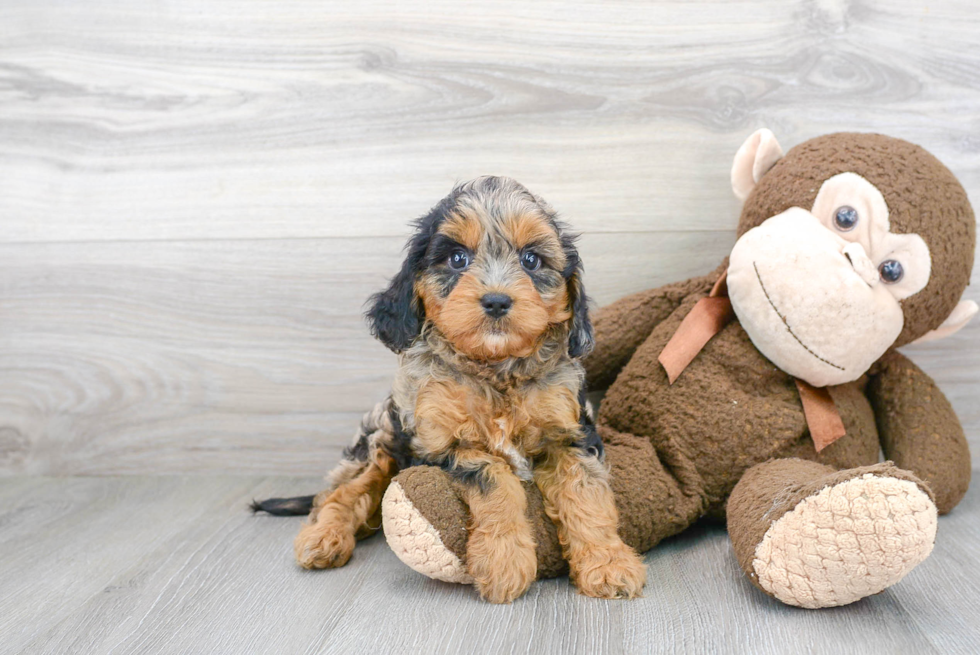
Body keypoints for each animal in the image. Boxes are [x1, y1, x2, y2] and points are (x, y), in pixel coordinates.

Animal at [256, 176, 648, 604]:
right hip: (380, 442)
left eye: (531, 260)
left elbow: (586, 492)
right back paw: (324, 538)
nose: (496, 301)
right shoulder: (440, 444)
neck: (496, 371)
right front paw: (504, 561)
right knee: (340, 494)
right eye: (457, 259)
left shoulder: (570, 434)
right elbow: (494, 475)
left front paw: (608, 564)